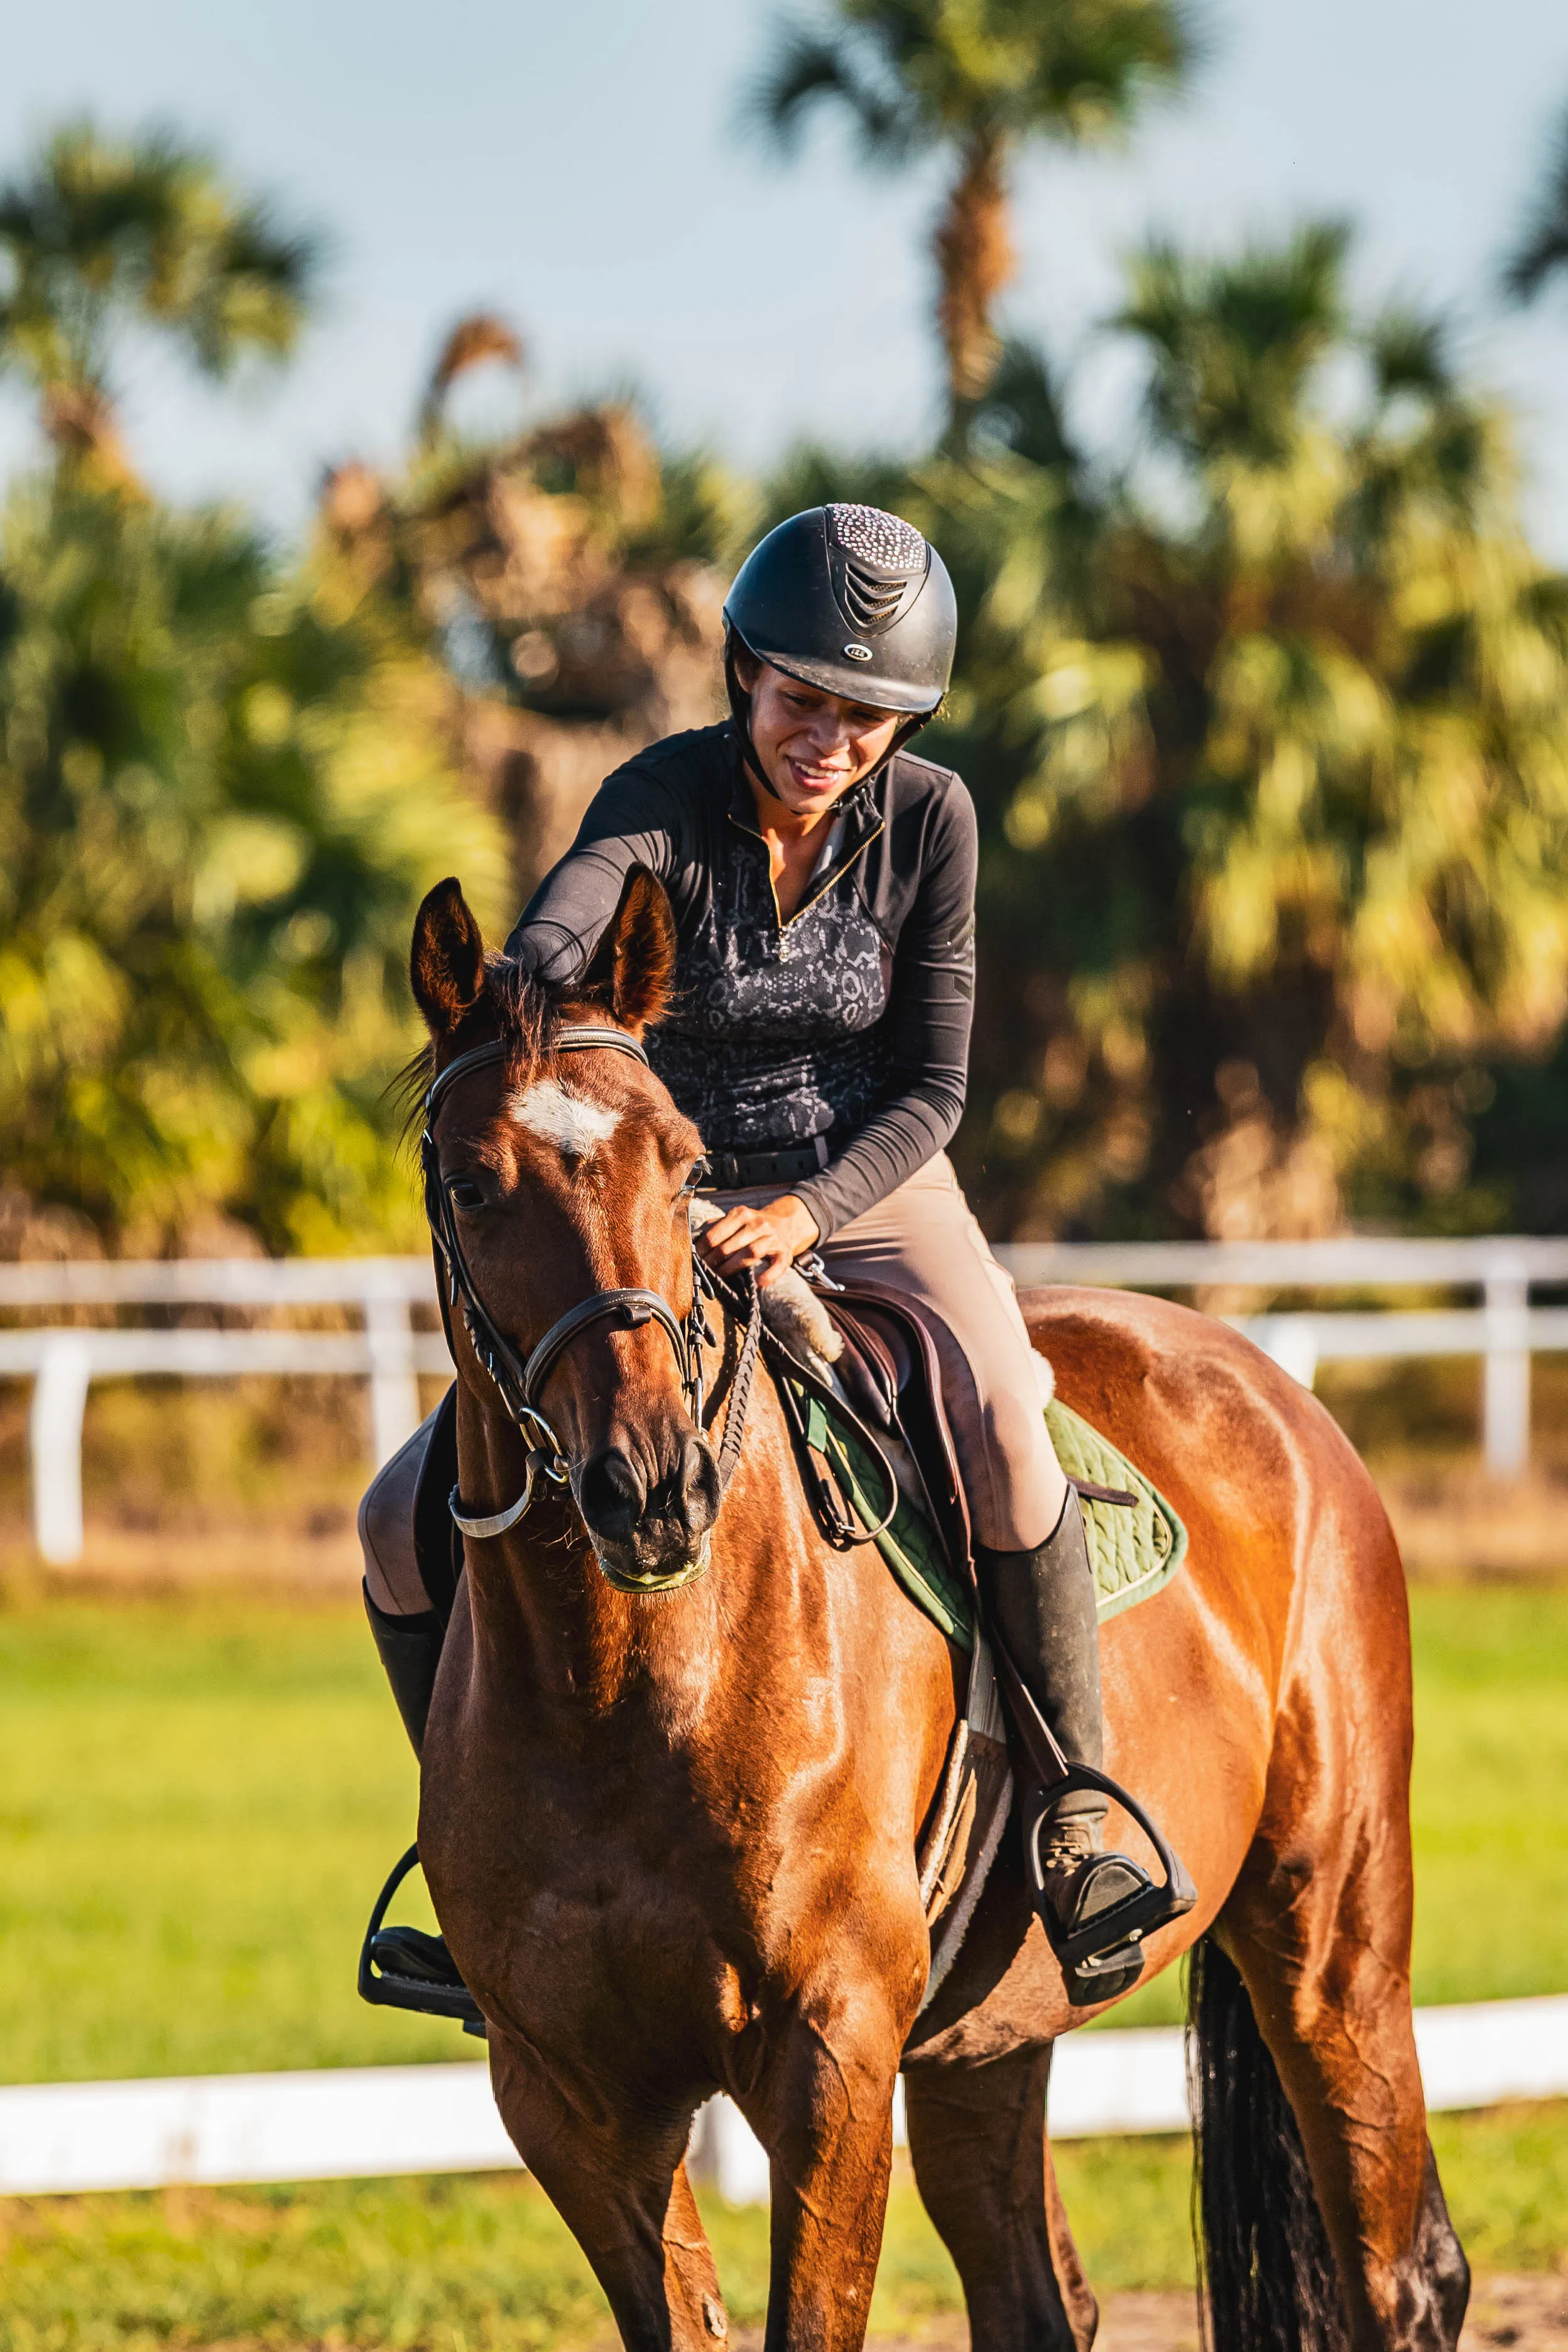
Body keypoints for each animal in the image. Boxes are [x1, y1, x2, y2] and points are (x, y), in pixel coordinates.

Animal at [406, 866, 1469, 2352]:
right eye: (471, 1180)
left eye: (684, 1167)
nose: (655, 1484)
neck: (619, 1686)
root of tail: (1265, 1379)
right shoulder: (570, 2101)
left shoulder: (831, 2049)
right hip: (988, 2032)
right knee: (1033, 2294)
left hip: (1332, 1934)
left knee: (1401, 2270)